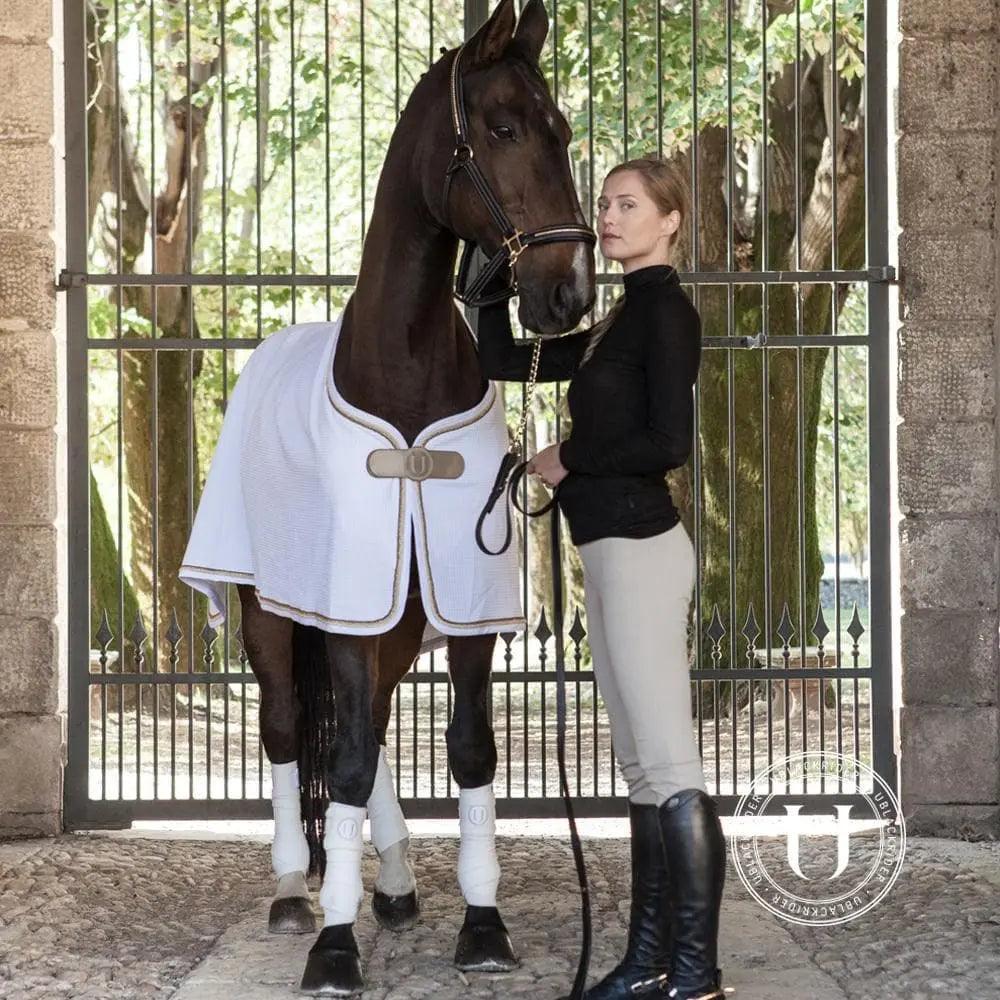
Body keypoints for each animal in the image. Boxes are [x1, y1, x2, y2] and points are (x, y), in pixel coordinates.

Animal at [181, 0, 595, 994]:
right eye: (503, 128)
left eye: (562, 130)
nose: (567, 293)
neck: (402, 373)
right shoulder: (339, 606)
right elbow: (340, 760)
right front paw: (334, 947)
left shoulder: (459, 610)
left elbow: (465, 751)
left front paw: (483, 924)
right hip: (275, 619)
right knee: (293, 733)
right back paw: (295, 892)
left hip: (392, 626)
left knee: (367, 736)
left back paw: (399, 883)